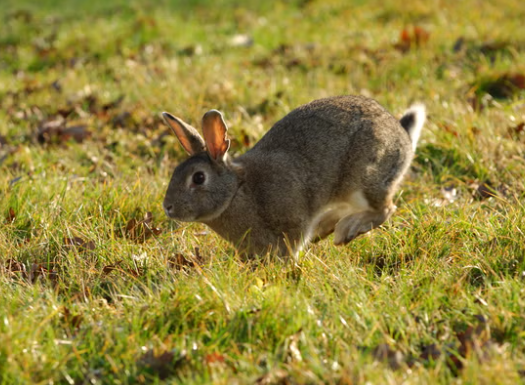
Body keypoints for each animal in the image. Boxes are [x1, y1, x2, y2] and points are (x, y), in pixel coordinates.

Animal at [162, 95, 424, 258]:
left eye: (198, 178)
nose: (168, 207)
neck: (237, 190)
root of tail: (404, 140)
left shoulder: (292, 222)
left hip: (365, 179)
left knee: (385, 208)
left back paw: (345, 231)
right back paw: (325, 229)